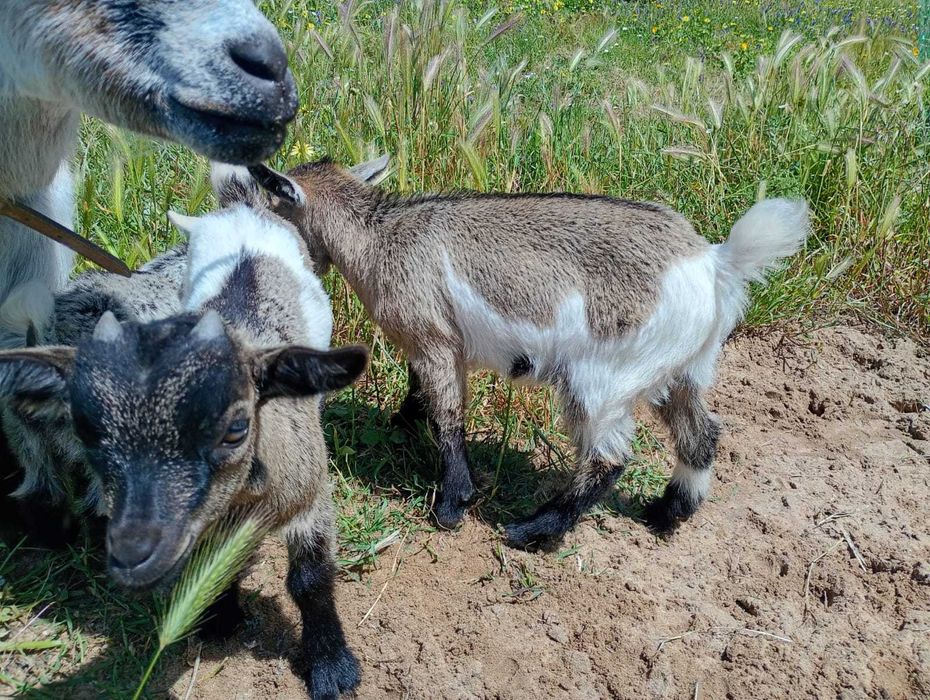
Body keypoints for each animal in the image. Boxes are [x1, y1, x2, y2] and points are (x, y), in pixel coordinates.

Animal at [0, 189, 365, 698]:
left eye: (236, 426)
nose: (134, 550)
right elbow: (211, 563)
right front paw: (218, 618)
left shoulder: (310, 494)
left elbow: (310, 578)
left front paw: (332, 667)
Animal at [230, 156, 810, 549]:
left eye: (267, 201)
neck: (380, 236)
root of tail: (715, 263)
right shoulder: (434, 344)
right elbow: (422, 394)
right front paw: (400, 424)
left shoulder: (434, 338)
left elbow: (448, 415)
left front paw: (452, 503)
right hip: (683, 368)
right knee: (700, 434)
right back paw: (665, 514)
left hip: (601, 379)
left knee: (608, 457)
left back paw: (531, 529)